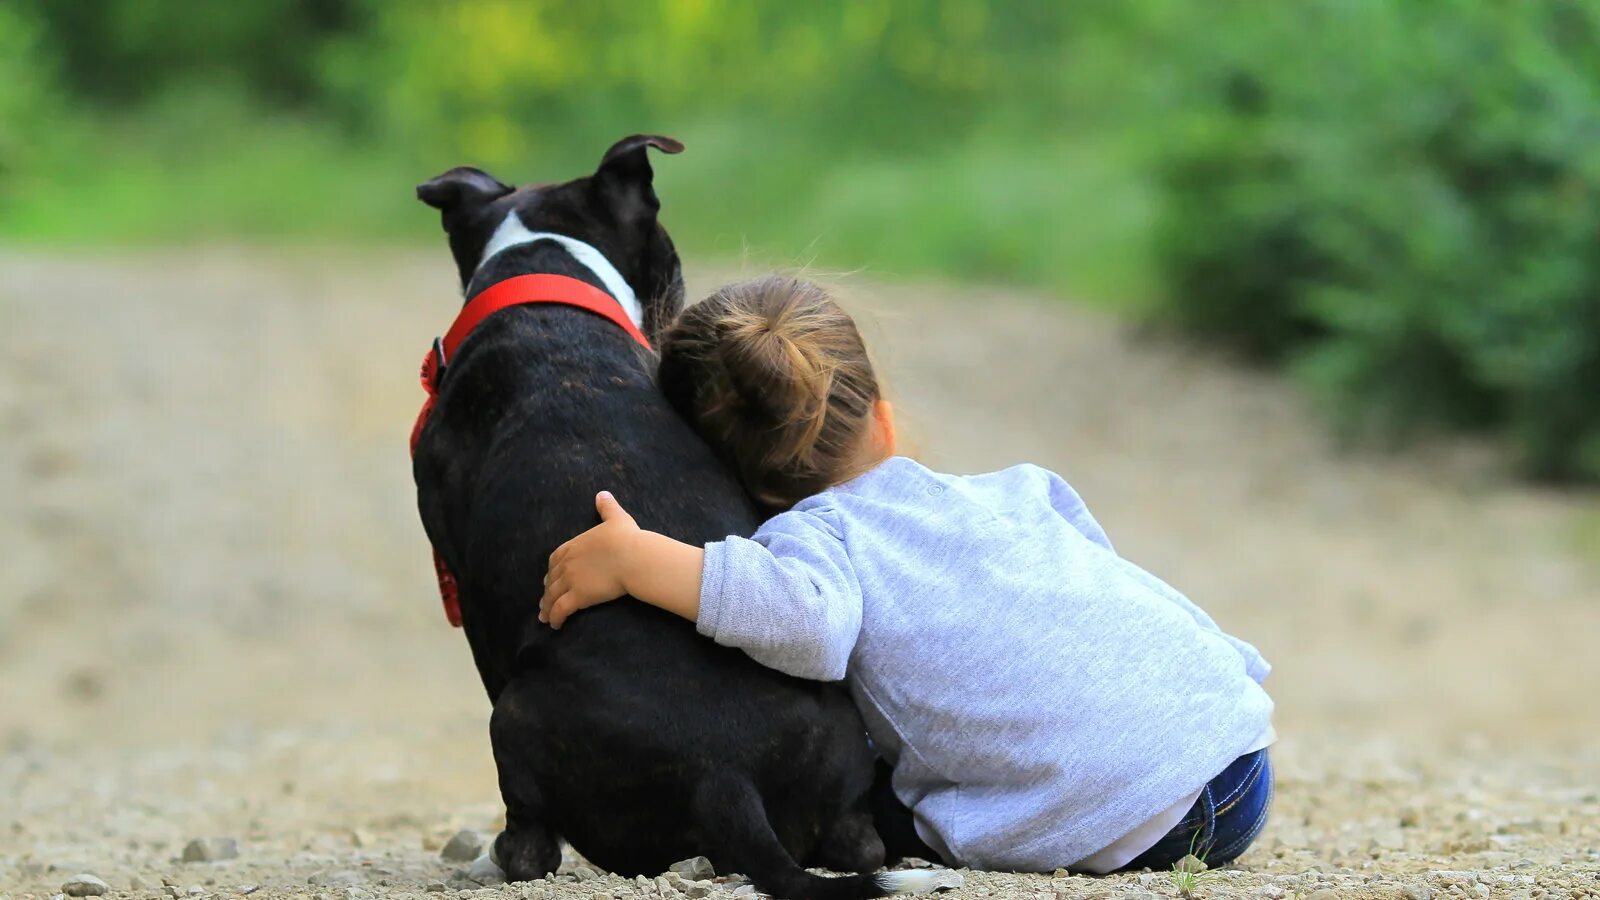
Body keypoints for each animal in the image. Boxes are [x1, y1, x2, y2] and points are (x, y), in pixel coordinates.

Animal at [409, 134, 947, 896]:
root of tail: (724, 776)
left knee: (533, 846)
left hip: (511, 717)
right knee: (857, 846)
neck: (542, 277)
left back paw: (494, 859)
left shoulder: (471, 598)